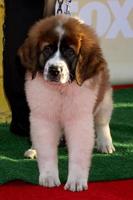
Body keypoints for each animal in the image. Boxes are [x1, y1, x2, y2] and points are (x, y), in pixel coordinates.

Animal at [18, 14, 115, 191]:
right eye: (47, 49)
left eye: (70, 52)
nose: (54, 70)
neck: (61, 90)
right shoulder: (43, 118)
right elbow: (47, 150)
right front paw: (48, 176)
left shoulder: (79, 120)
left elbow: (78, 153)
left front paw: (76, 181)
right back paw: (34, 148)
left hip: (104, 97)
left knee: (102, 121)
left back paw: (105, 143)